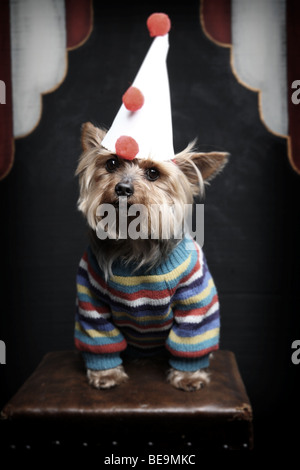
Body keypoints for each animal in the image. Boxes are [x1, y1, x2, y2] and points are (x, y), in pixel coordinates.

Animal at [74, 123, 227, 392]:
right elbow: (99, 335)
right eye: (111, 163)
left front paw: (188, 376)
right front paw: (106, 374)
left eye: (153, 173)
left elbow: (192, 335)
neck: (133, 242)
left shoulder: (195, 298)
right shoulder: (90, 295)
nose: (123, 188)